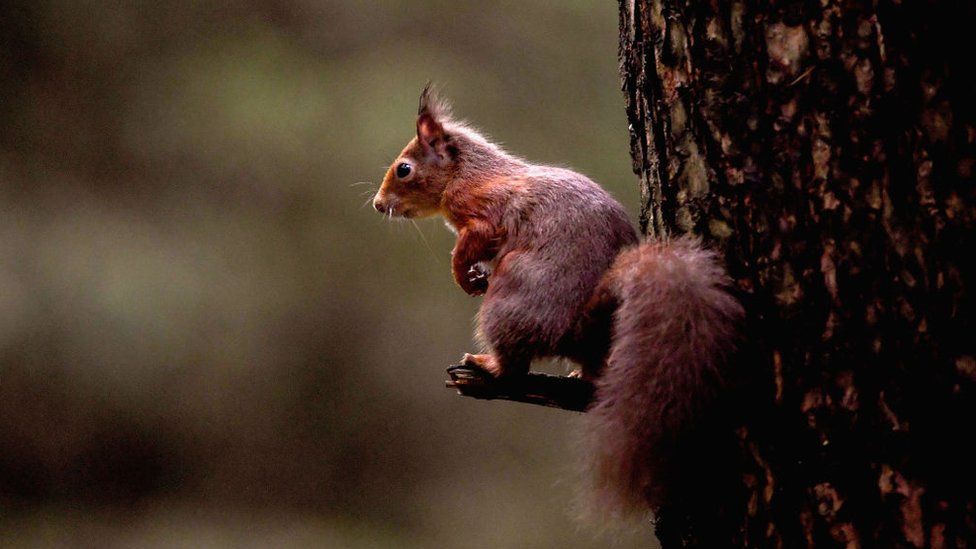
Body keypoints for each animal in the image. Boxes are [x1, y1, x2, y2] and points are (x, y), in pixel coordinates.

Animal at [372, 86, 740, 520]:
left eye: (404, 169)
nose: (378, 204)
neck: (470, 173)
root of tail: (578, 325)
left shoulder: (484, 212)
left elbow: (469, 244)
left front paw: (464, 275)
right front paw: (474, 277)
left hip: (508, 300)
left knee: (514, 369)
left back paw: (488, 364)